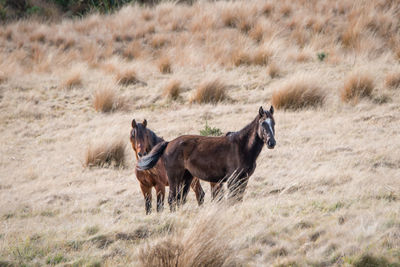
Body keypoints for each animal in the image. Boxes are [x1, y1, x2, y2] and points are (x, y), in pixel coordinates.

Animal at [138, 106, 276, 211]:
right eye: (262, 123)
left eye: (273, 123)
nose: (272, 143)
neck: (241, 147)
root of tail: (169, 143)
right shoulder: (233, 180)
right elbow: (232, 199)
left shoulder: (243, 179)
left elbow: (238, 199)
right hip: (174, 178)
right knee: (172, 199)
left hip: (186, 178)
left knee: (180, 199)